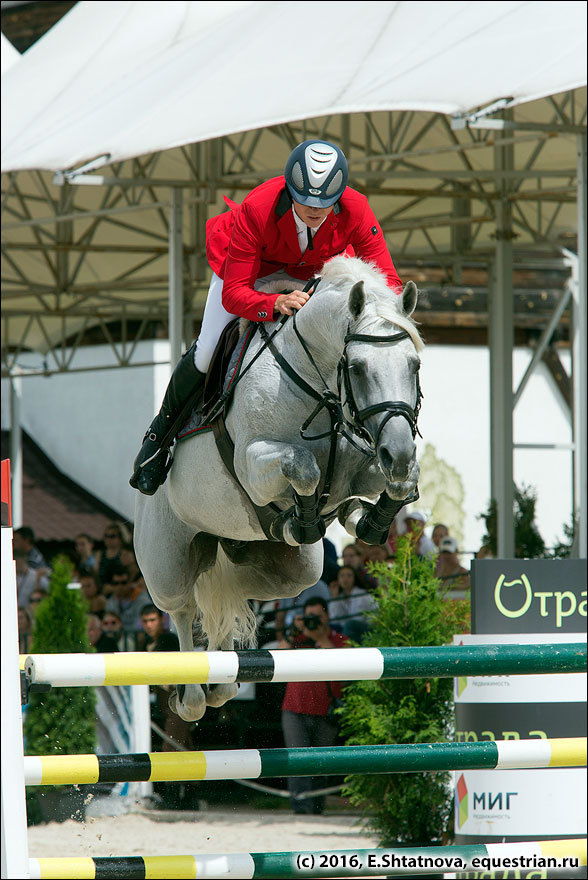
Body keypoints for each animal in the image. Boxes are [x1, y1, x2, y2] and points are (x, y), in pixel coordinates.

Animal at [133, 256, 422, 720]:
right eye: (357, 369)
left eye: (414, 365)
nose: (397, 452)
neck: (322, 389)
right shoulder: (254, 463)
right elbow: (302, 467)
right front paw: (304, 519)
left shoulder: (368, 461)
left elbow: (399, 484)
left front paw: (367, 521)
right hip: (167, 563)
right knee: (182, 610)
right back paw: (193, 694)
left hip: (289, 571)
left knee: (235, 590)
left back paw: (223, 681)